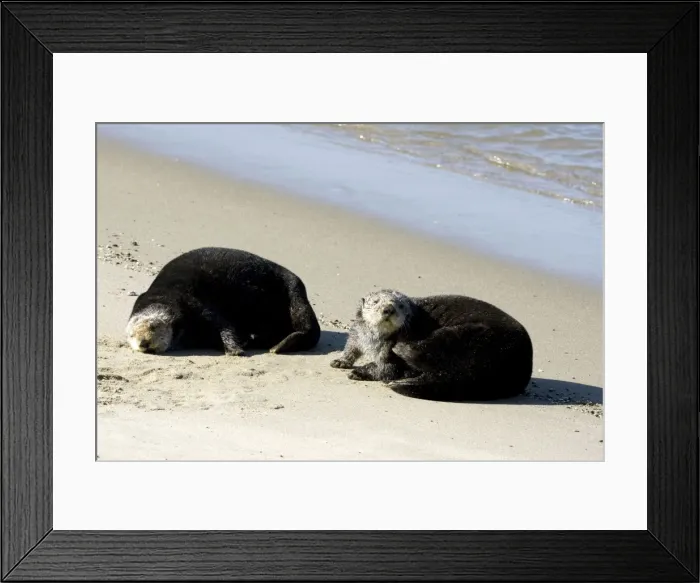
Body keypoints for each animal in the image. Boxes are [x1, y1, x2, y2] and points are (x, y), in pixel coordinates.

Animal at [126, 247, 320, 356]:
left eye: (153, 327)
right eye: (131, 336)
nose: (143, 343)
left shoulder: (196, 303)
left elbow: (223, 324)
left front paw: (234, 350)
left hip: (295, 292)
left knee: (308, 328)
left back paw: (279, 346)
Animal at [331, 289, 533, 401]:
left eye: (401, 305)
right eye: (376, 301)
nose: (388, 309)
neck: (373, 338)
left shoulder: (389, 358)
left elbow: (387, 369)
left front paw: (360, 371)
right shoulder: (357, 332)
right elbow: (351, 345)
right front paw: (341, 361)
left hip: (468, 336)